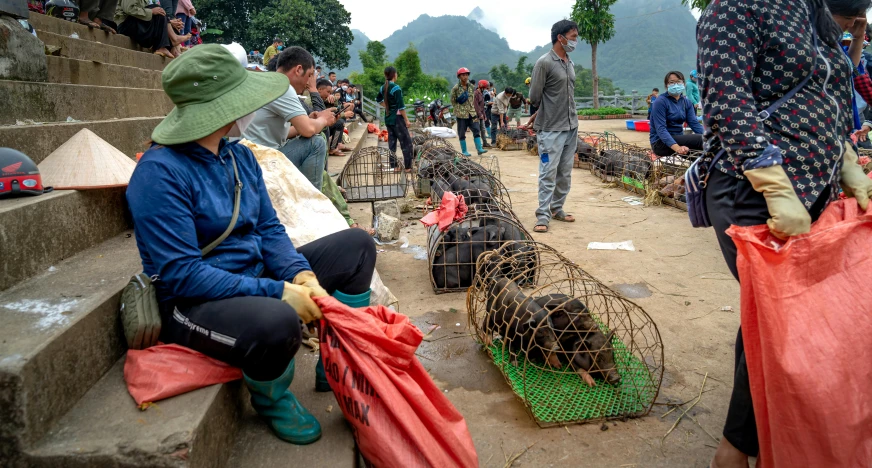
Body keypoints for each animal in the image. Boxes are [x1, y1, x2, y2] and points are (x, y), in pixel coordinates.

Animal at [466, 241, 664, 428]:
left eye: (612, 355)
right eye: (598, 357)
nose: (616, 378)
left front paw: (558, 366)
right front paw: (589, 382)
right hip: (491, 316)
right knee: (486, 327)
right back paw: (490, 343)